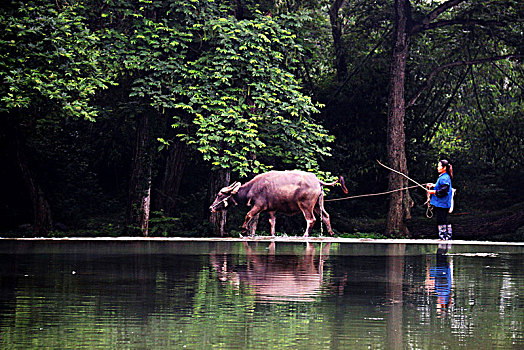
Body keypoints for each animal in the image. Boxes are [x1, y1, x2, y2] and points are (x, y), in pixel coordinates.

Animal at [209, 170, 348, 237]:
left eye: (219, 195)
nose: (211, 208)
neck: (252, 188)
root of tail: (317, 181)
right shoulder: (271, 209)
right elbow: (272, 222)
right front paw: (272, 234)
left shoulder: (258, 206)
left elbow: (248, 215)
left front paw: (244, 230)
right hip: (317, 205)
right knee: (325, 216)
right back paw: (331, 233)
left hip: (306, 206)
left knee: (311, 219)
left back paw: (305, 234)